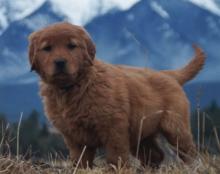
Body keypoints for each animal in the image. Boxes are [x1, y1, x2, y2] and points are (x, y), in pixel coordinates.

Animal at [28, 21, 205, 167]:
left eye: (72, 46)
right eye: (47, 48)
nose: (60, 62)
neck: (75, 87)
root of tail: (169, 74)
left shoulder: (113, 127)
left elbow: (115, 155)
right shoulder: (73, 135)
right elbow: (80, 159)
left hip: (175, 126)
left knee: (188, 152)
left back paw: (194, 167)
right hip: (140, 132)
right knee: (155, 155)